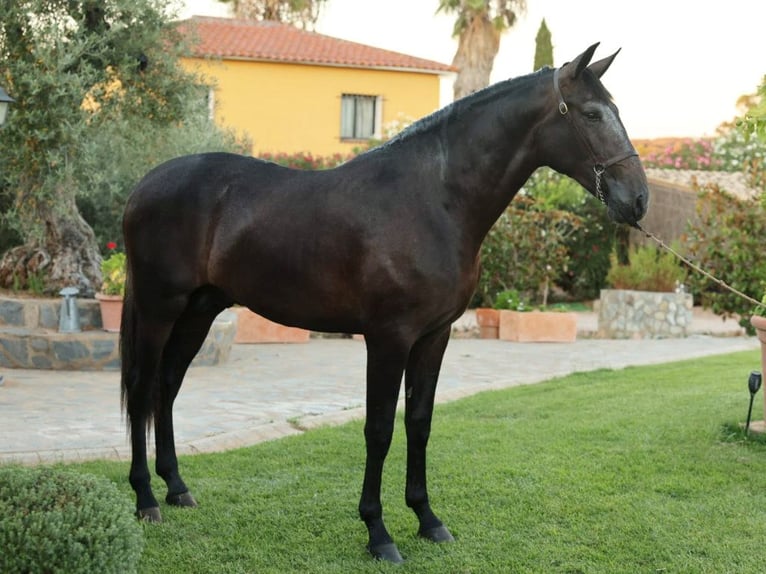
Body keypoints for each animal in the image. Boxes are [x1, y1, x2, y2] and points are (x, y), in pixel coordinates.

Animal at [120, 44, 648, 564]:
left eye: (617, 110)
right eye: (592, 113)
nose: (639, 200)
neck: (433, 200)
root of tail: (143, 185)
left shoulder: (435, 336)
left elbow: (419, 422)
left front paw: (428, 519)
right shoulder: (388, 338)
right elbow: (379, 430)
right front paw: (378, 532)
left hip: (200, 309)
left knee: (167, 386)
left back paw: (177, 488)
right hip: (159, 306)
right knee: (143, 388)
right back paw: (146, 500)